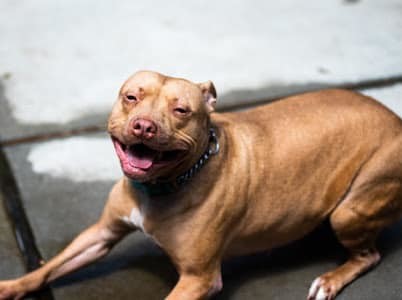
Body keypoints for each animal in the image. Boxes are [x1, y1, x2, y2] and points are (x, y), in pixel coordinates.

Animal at [0, 71, 402, 300]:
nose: (144, 126)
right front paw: (11, 287)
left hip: (352, 209)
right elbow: (48, 269)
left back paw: (330, 280)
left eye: (182, 110)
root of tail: (394, 118)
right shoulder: (100, 234)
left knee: (368, 255)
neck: (161, 186)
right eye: (131, 97)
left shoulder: (199, 279)